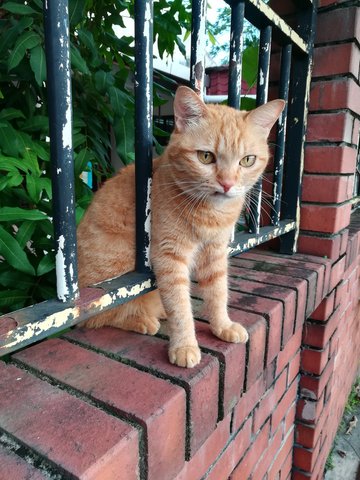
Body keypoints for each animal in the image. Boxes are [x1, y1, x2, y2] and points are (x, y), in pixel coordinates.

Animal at [77, 87, 286, 368]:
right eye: (206, 157)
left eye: (247, 160)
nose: (227, 184)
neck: (210, 213)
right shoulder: (170, 257)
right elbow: (180, 307)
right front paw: (185, 345)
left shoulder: (215, 252)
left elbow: (218, 292)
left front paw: (222, 325)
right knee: (99, 317)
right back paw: (143, 320)